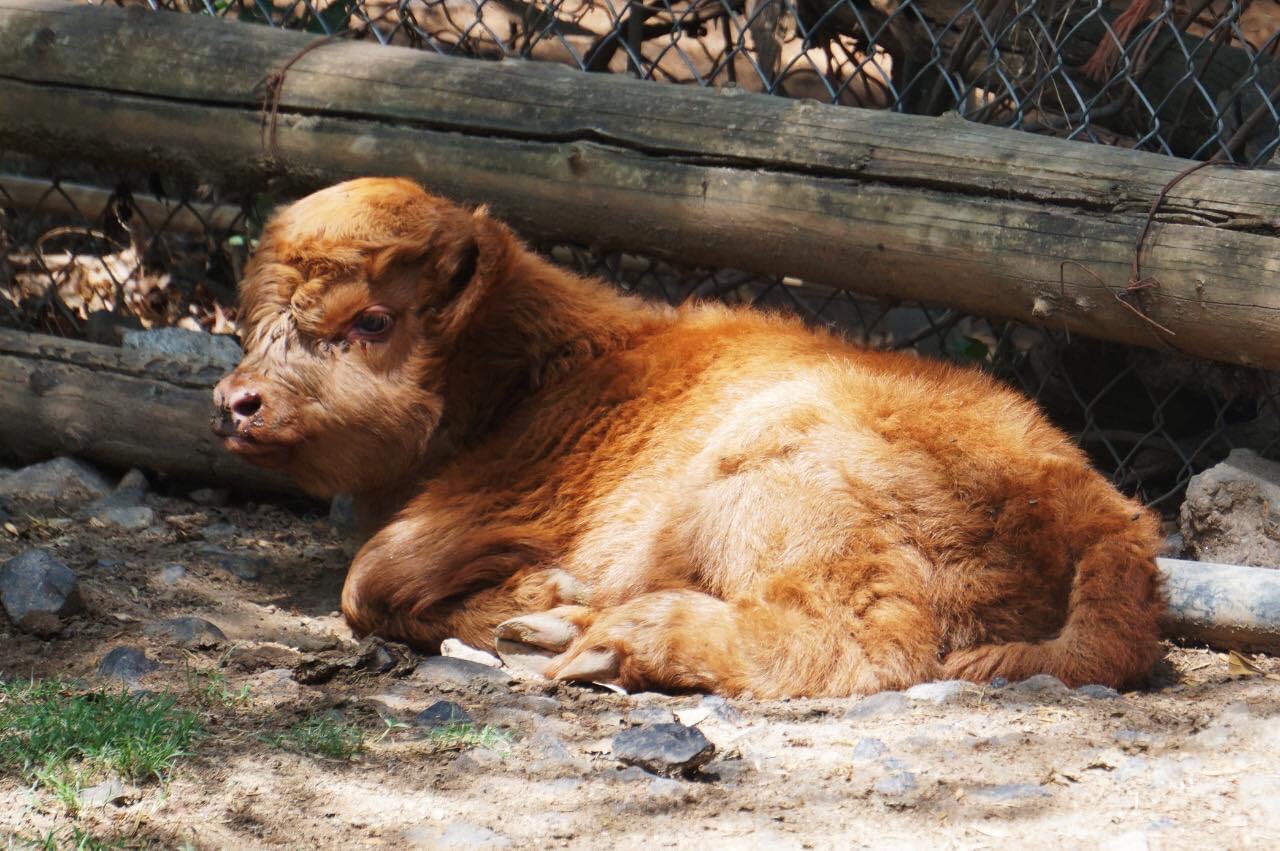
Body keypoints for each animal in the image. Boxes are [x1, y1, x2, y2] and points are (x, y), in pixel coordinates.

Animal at [215, 177, 1167, 696]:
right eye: (259, 317)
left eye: (374, 320)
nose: (238, 403)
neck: (539, 372)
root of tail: (1107, 514)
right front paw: (537, 605)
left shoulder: (484, 511)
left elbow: (370, 576)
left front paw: (537, 594)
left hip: (766, 481)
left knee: (857, 646)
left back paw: (605, 640)